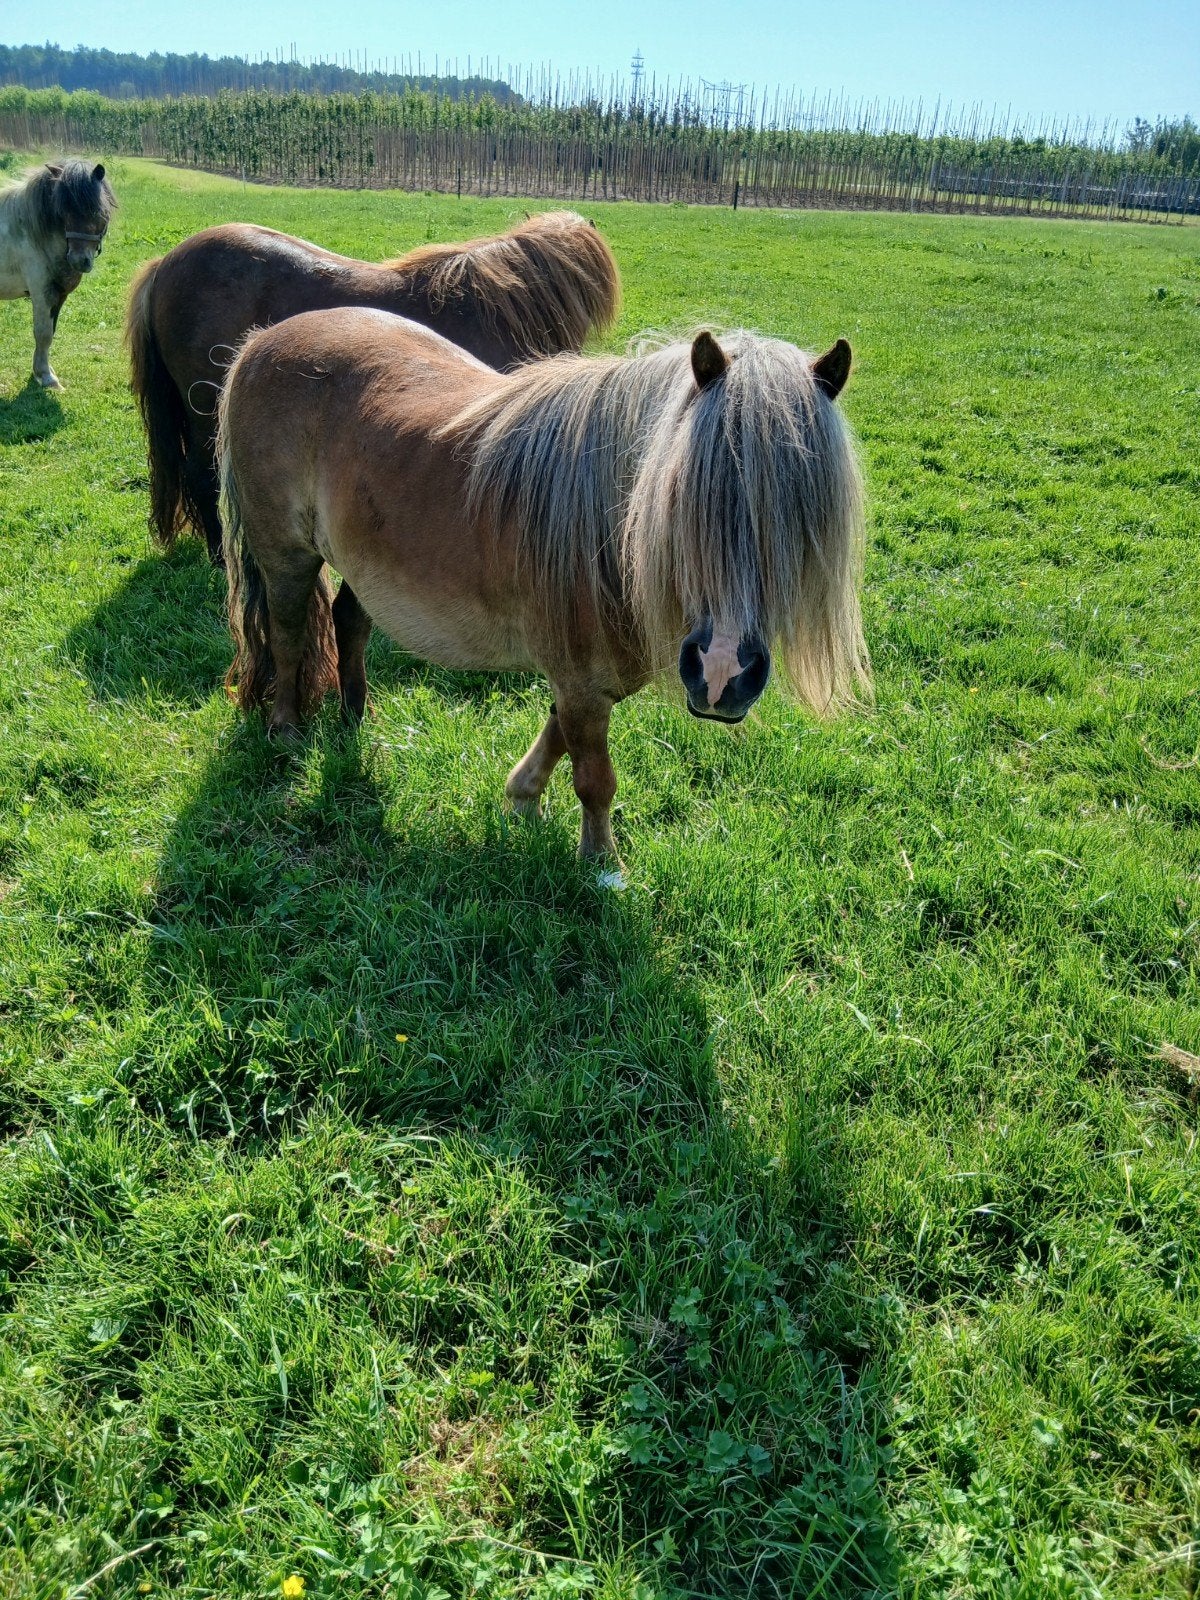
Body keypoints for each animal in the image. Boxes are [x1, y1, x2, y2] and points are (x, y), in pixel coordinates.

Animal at [0, 160, 114, 390]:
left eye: (96, 210)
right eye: (63, 211)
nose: (79, 260)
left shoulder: (59, 295)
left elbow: (50, 331)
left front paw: (42, 371)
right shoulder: (42, 293)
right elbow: (43, 333)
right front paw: (46, 377)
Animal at [217, 311, 869, 865]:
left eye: (802, 510)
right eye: (682, 494)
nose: (721, 674)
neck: (605, 523)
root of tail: (261, 341)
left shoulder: (589, 678)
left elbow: (557, 738)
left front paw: (522, 803)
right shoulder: (580, 679)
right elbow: (594, 776)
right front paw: (602, 867)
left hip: (364, 566)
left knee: (349, 621)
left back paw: (357, 718)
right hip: (286, 556)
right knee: (289, 634)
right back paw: (286, 731)